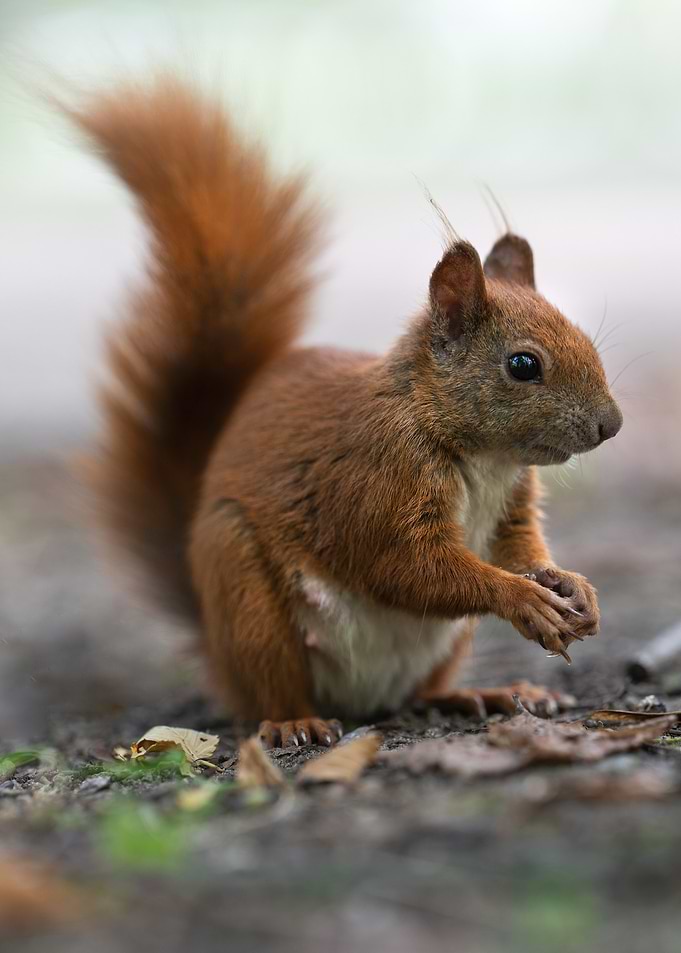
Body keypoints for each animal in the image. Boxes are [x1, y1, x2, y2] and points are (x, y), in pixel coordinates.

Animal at [62, 75, 622, 747]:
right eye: (523, 365)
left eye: (583, 336)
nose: (611, 425)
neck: (480, 454)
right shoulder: (375, 480)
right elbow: (408, 567)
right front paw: (524, 599)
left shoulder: (511, 502)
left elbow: (520, 546)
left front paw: (571, 587)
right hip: (246, 594)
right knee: (270, 689)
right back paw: (294, 721)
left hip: (442, 646)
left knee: (422, 691)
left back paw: (483, 693)